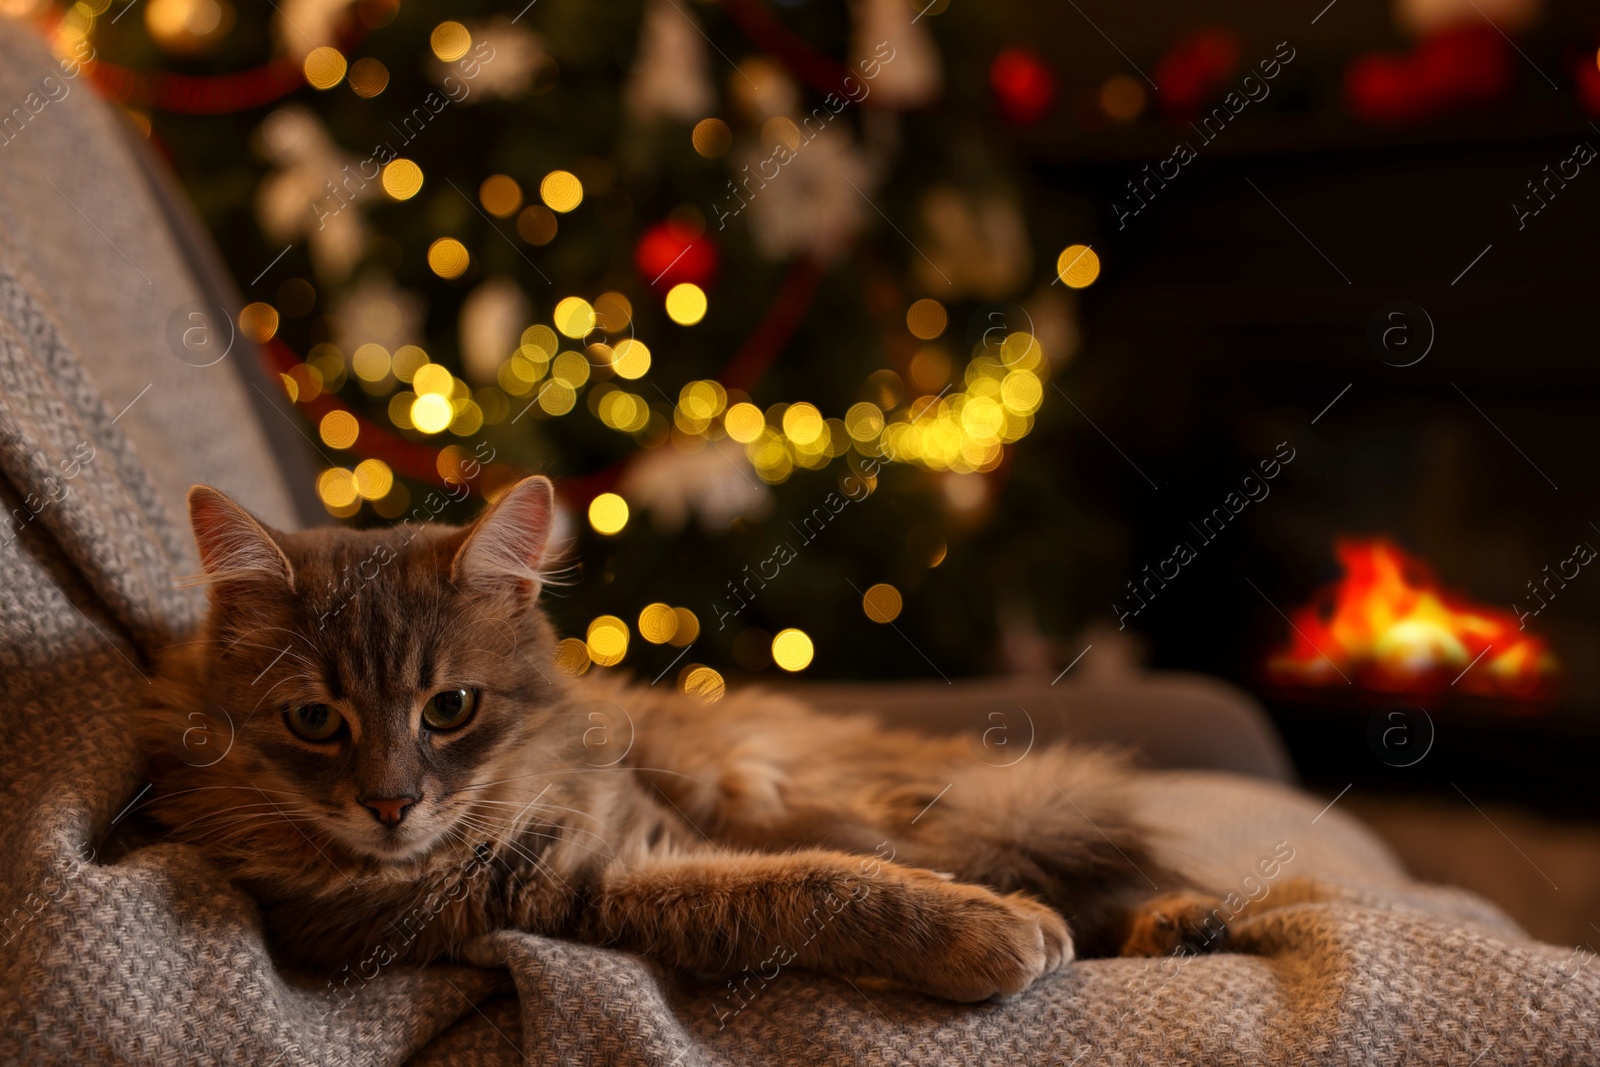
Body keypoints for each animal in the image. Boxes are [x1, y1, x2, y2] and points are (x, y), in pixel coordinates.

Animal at [137, 479, 1228, 1004]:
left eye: (449, 707)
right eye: (315, 720)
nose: (390, 803)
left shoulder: (639, 832)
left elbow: (848, 872)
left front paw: (1001, 919)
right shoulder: (592, 888)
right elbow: (815, 888)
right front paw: (986, 931)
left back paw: (1184, 920)